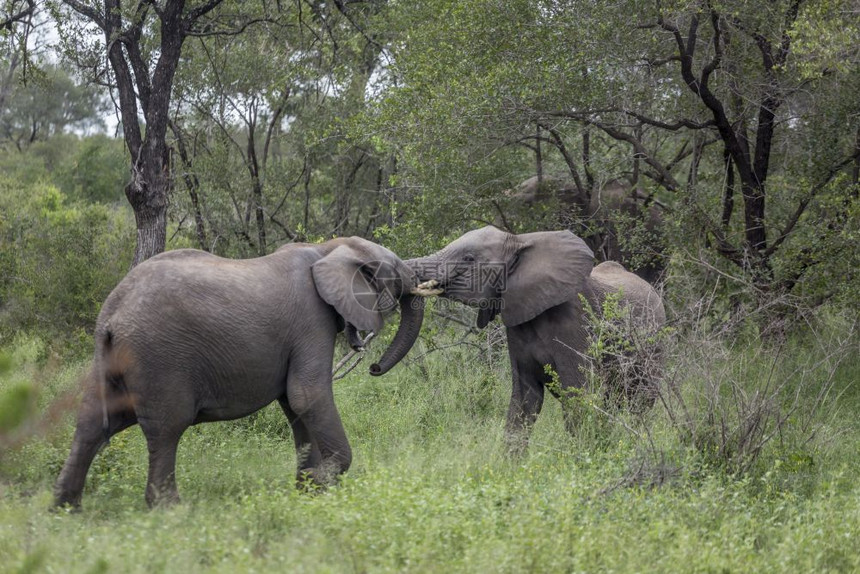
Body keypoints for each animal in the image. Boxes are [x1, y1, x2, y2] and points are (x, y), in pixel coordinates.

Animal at [55, 236, 428, 510]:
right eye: (395, 270)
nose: (374, 367)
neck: (328, 247)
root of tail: (112, 315)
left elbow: (295, 406)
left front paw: (307, 491)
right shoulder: (311, 320)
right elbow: (306, 396)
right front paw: (321, 481)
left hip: (109, 359)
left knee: (92, 424)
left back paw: (65, 509)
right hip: (158, 357)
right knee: (166, 428)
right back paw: (170, 510)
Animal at [408, 227, 664, 452]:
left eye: (469, 258)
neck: (520, 241)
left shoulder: (576, 323)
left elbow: (577, 394)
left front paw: (583, 460)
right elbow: (524, 399)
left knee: (640, 403)